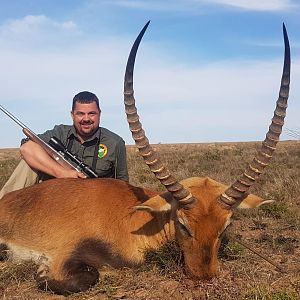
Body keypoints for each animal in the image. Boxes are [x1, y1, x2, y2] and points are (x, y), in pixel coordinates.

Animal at [0, 23, 290, 296]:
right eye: (183, 224)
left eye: (225, 227)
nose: (203, 276)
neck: (134, 218)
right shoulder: (67, 254)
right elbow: (84, 277)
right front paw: (41, 272)